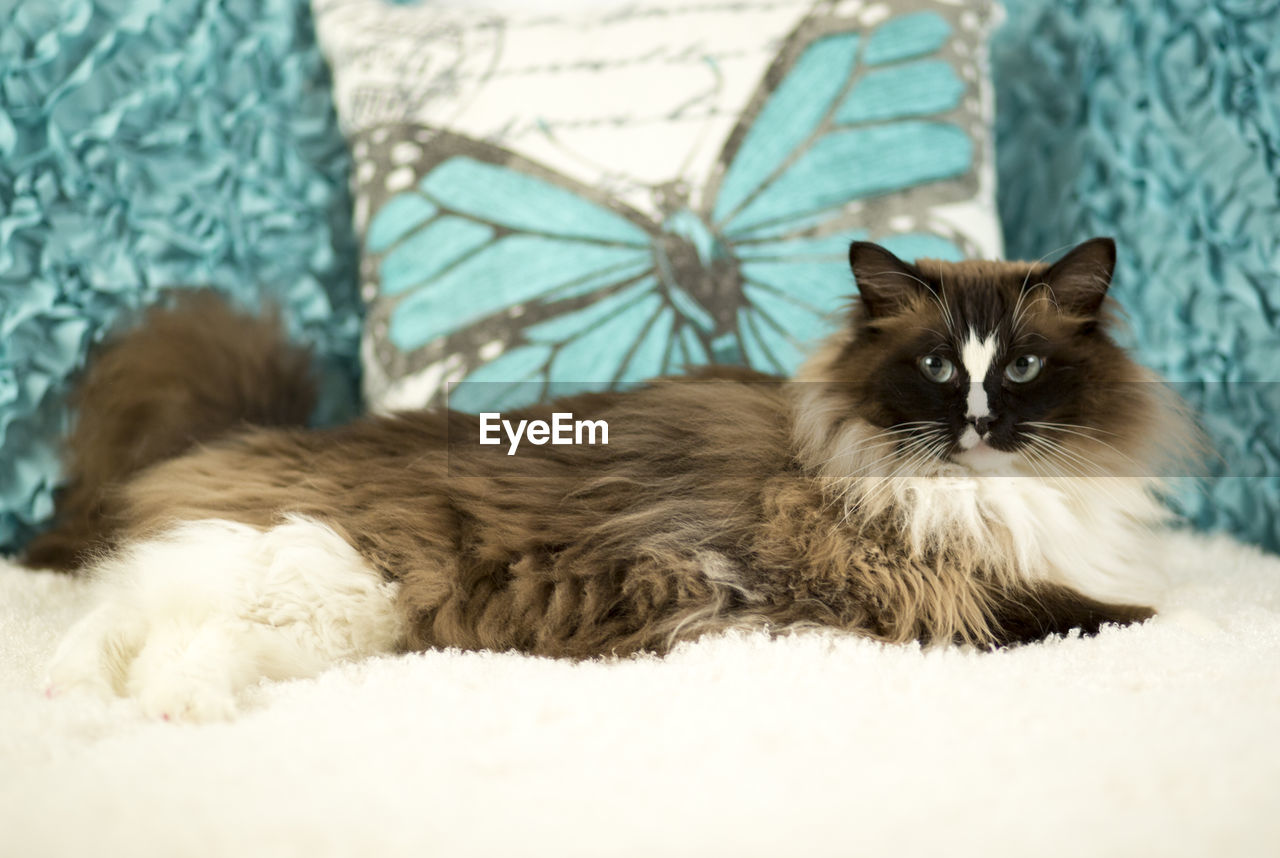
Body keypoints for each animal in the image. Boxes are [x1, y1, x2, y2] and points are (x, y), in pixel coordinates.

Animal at [27, 238, 1187, 722]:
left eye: (1023, 367)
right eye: (940, 367)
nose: (981, 423)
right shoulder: (932, 586)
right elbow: (1110, 610)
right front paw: (1179, 620)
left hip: (309, 600)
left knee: (127, 617)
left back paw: (93, 701)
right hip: (329, 586)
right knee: (156, 629)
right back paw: (161, 712)